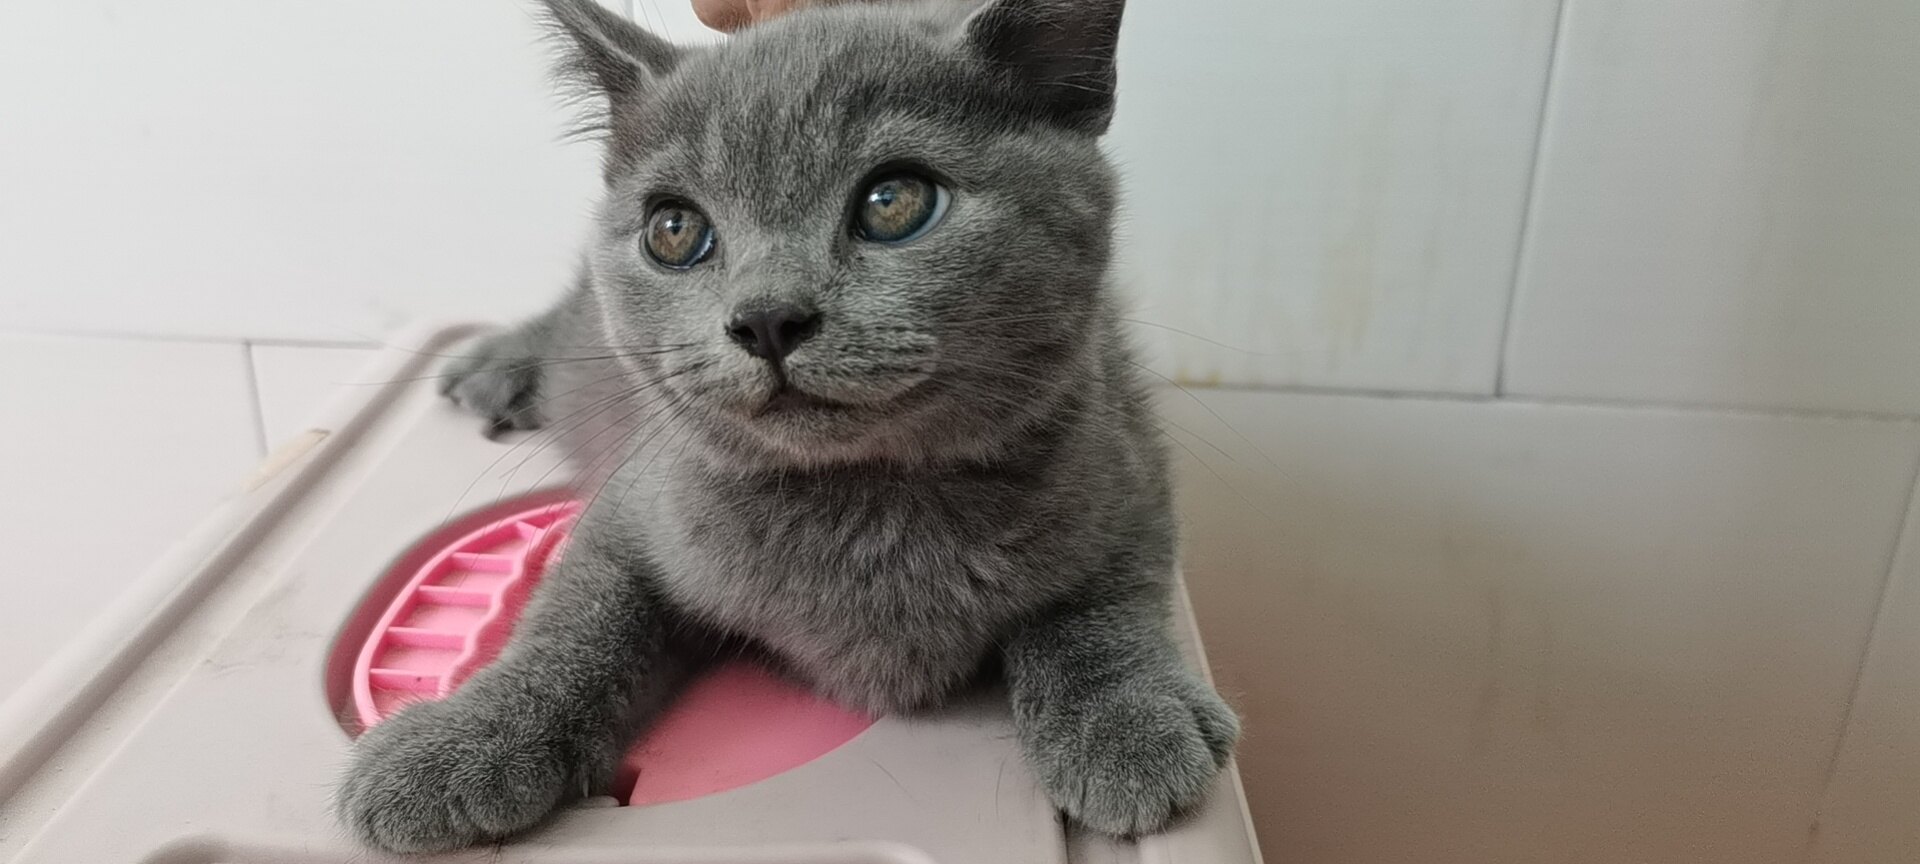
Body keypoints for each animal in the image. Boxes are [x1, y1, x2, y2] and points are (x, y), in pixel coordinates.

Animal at [336, 0, 1239, 853]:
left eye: (893, 200)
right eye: (673, 229)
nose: (767, 318)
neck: (866, 502)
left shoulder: (1127, 459)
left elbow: (1107, 596)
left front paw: (1127, 721)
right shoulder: (633, 505)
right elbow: (575, 617)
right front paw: (462, 742)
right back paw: (494, 366)